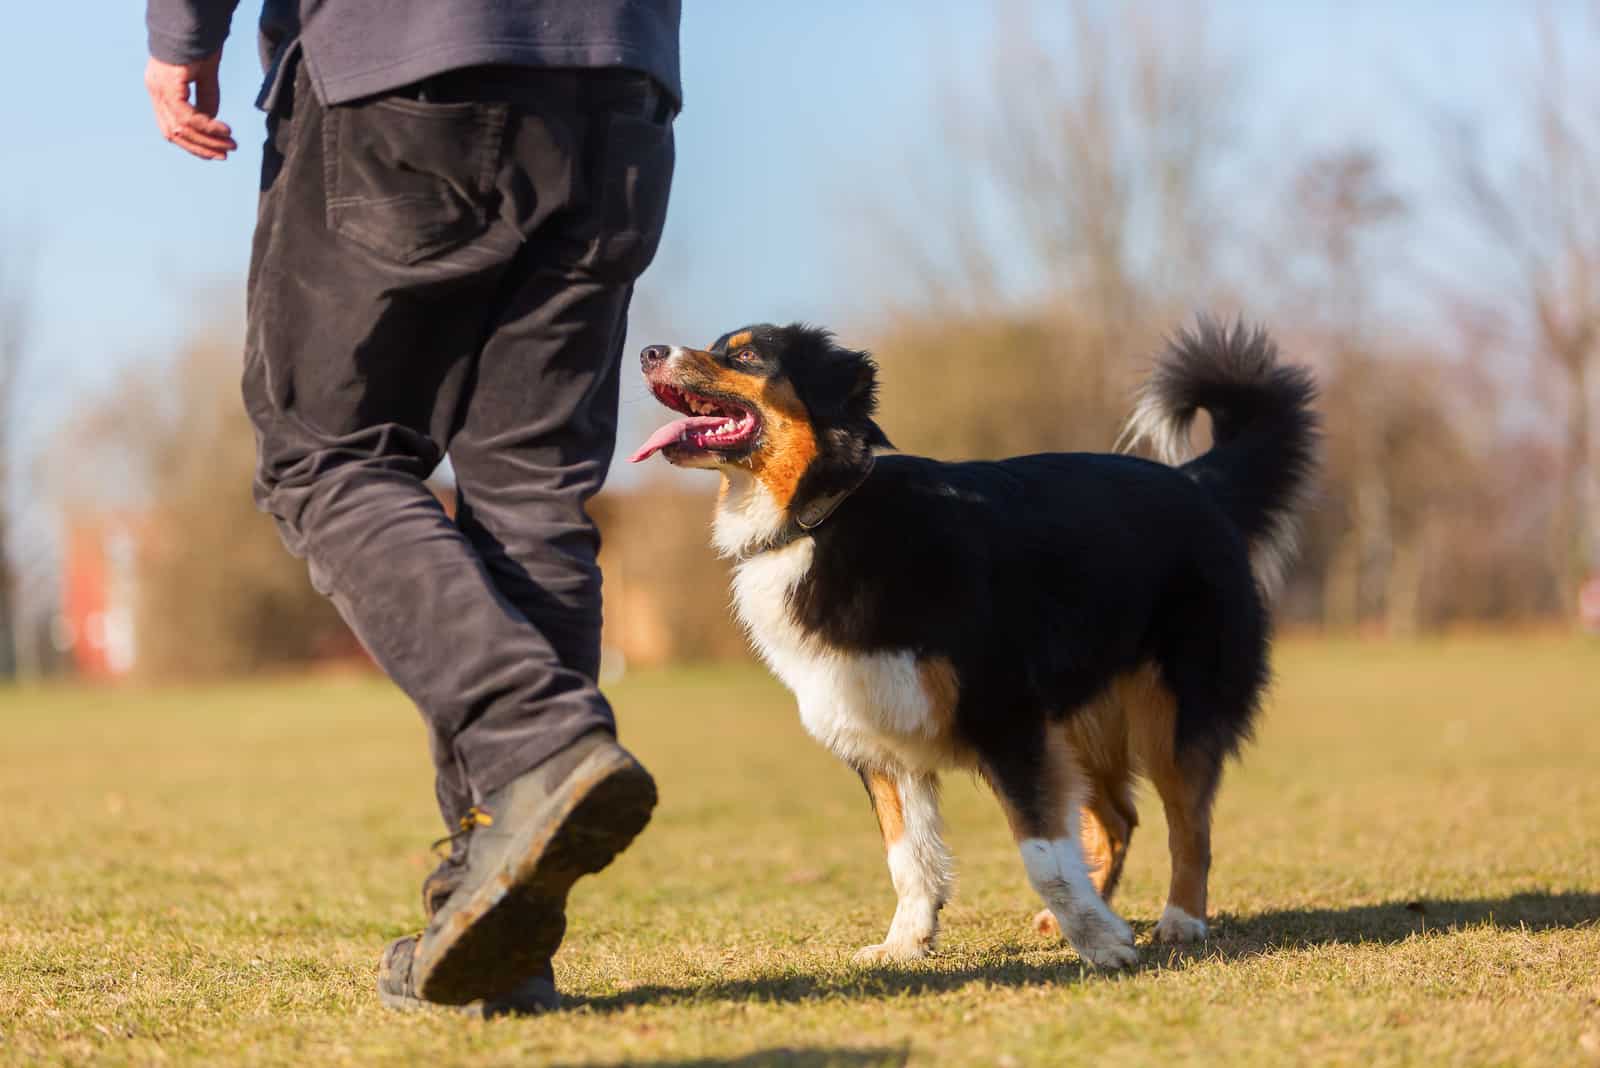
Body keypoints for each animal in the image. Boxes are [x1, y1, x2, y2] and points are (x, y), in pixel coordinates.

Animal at [630, 319, 1318, 965]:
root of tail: (1198, 483)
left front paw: (1101, 943)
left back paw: (1181, 922)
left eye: (746, 355)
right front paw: (907, 944)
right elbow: (909, 859)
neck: (823, 515)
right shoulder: (882, 739)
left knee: (1189, 828)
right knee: (1119, 819)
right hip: (1080, 719)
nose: (648, 351)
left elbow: (1043, 855)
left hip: (1173, 712)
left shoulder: (1006, 720)